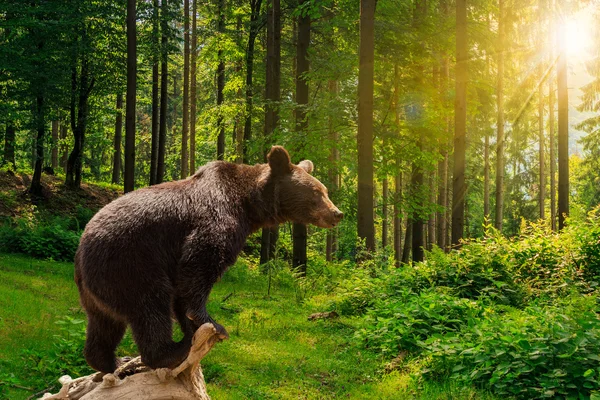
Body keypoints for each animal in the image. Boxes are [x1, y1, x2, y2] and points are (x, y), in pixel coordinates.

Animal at [75, 146, 342, 372]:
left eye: (325, 191)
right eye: (316, 192)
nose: (337, 213)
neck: (249, 204)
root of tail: (83, 247)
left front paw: (193, 325)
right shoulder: (215, 218)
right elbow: (199, 264)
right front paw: (211, 323)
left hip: (96, 291)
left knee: (104, 324)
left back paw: (115, 361)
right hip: (130, 263)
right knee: (150, 305)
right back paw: (171, 351)